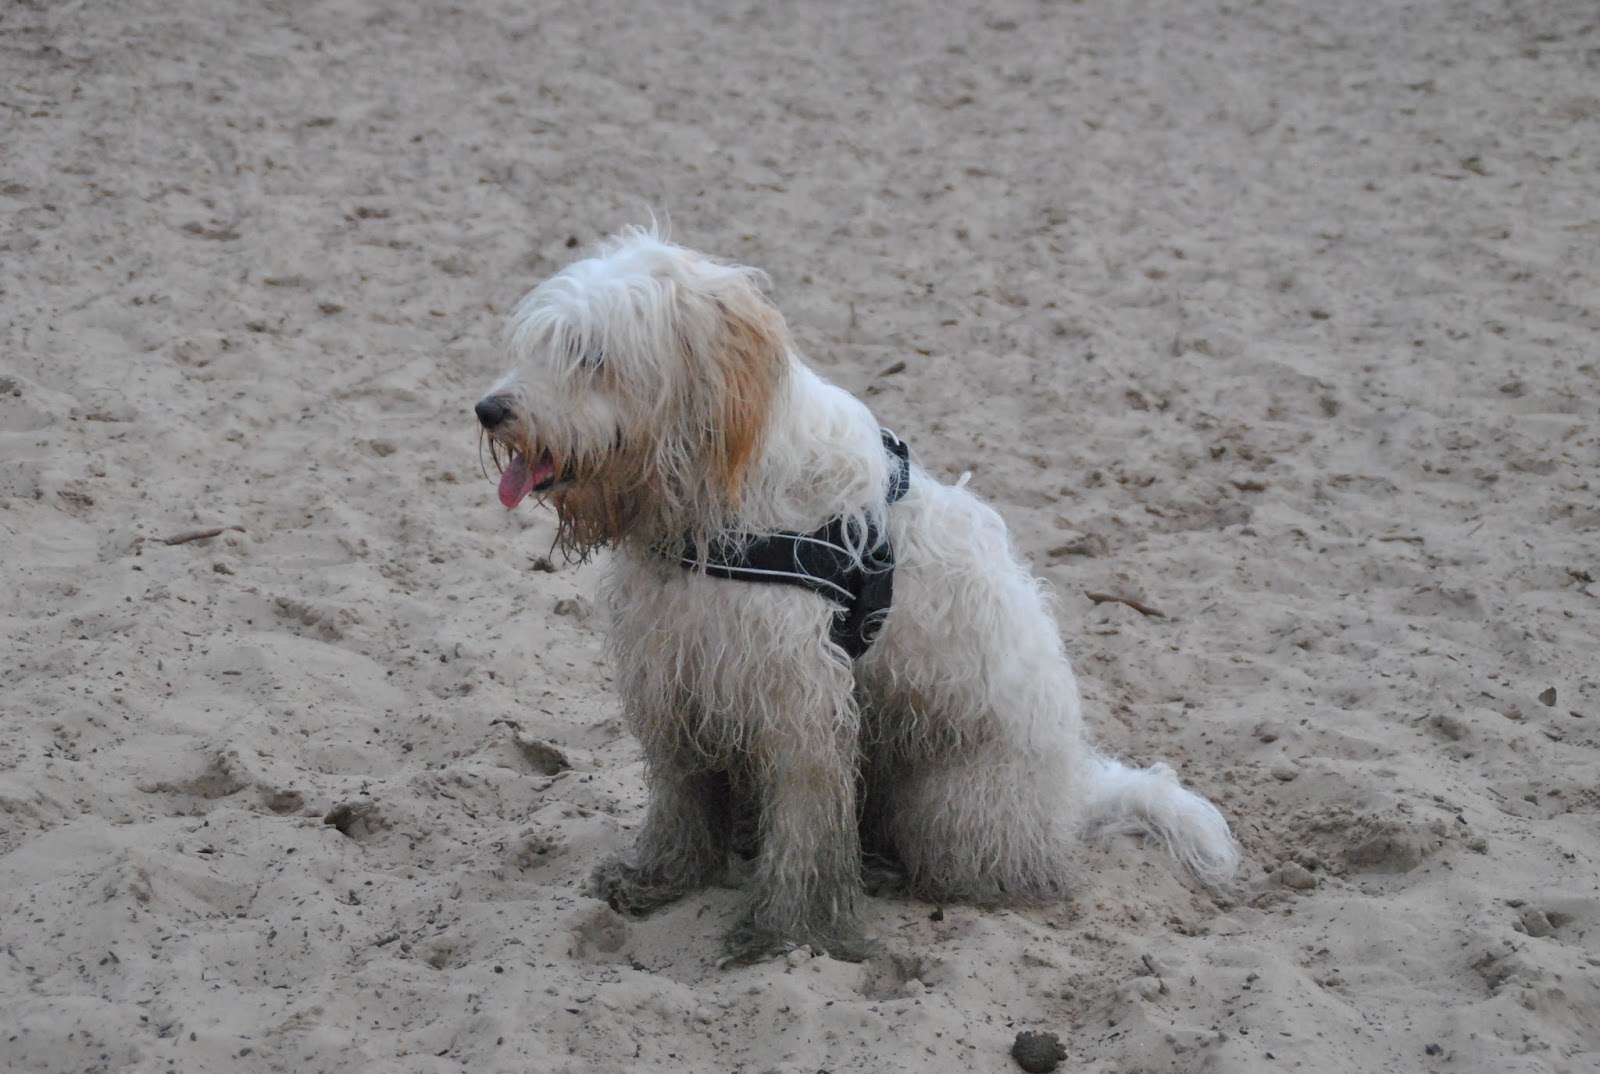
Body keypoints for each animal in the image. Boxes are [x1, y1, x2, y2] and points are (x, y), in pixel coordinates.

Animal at [475, 227, 1240, 963]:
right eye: (540, 343)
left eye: (589, 356)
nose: (489, 409)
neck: (713, 496)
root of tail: (1071, 802)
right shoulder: (674, 671)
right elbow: (681, 796)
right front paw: (659, 875)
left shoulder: (796, 697)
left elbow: (805, 823)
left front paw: (786, 931)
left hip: (948, 803)